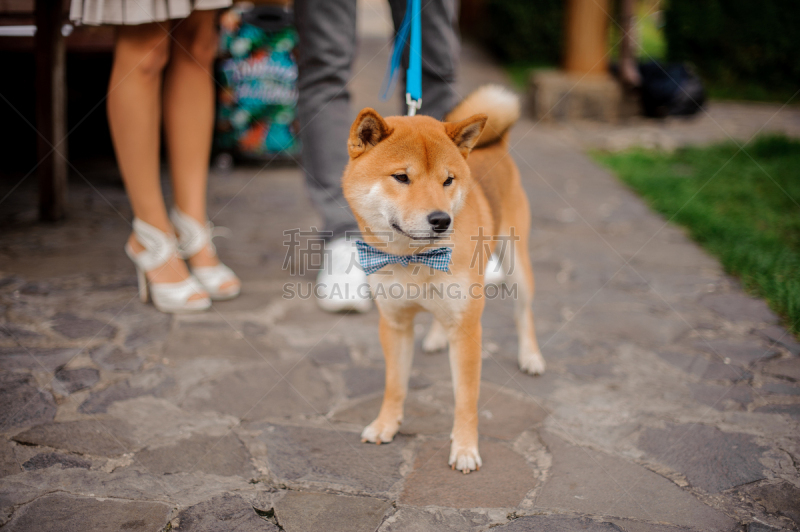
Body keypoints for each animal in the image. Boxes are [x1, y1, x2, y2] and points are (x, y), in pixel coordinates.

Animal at [340, 84, 548, 474]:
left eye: (447, 180)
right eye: (402, 177)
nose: (441, 220)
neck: (415, 259)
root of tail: (496, 143)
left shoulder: (467, 330)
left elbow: (466, 399)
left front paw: (465, 448)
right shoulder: (394, 324)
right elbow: (395, 385)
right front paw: (386, 424)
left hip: (517, 267)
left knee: (524, 313)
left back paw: (530, 356)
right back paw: (436, 338)